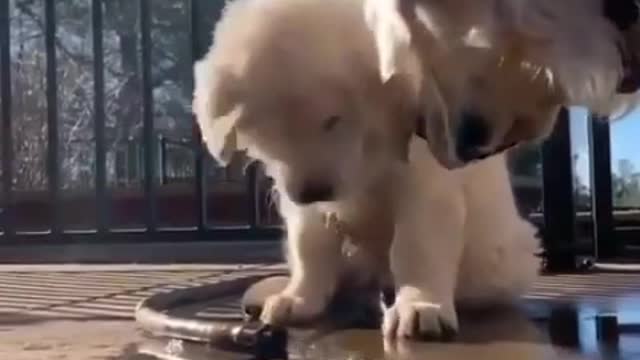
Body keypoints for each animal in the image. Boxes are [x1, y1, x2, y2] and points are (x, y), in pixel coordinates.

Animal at [191, 0, 540, 340]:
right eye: (271, 130)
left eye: (332, 120)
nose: (313, 192)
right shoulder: (299, 200)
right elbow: (309, 245)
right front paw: (299, 298)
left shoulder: (424, 183)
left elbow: (416, 245)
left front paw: (420, 305)